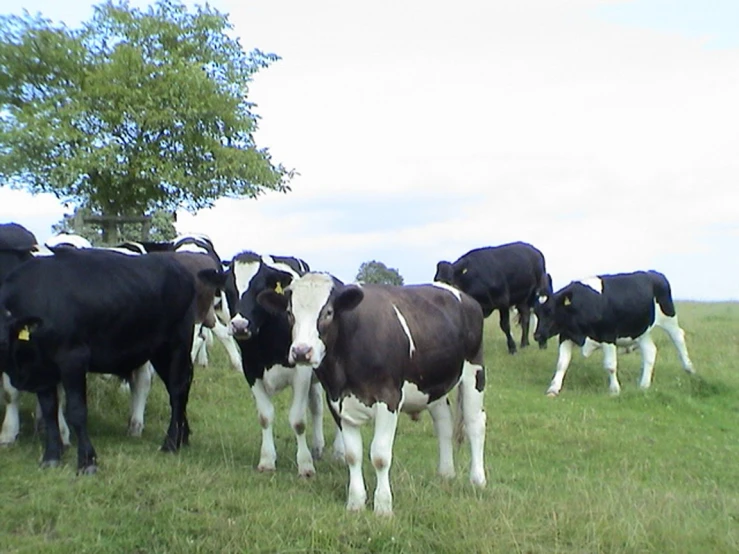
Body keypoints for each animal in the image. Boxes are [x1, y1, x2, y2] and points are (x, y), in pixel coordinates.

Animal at [0, 248, 197, 472]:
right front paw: (51, 456)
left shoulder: (73, 359)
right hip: (159, 352)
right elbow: (49, 411)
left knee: (177, 390)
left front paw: (87, 461)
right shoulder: (43, 370)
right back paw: (183, 437)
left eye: (2, 340)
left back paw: (170, 443)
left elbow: (77, 411)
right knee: (179, 388)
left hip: (177, 344)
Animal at [197, 252, 336, 476]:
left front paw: (305, 464)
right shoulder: (251, 371)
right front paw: (267, 460)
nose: (240, 326)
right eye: (229, 290)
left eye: (260, 290)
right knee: (316, 406)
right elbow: (265, 416)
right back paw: (317, 447)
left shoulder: (301, 372)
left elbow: (298, 420)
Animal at [258, 274, 488, 516]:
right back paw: (446, 473)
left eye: (328, 312)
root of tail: (463, 296)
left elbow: (379, 455)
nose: (301, 352)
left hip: (474, 370)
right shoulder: (337, 401)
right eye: (290, 313)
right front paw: (356, 502)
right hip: (432, 384)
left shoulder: (389, 398)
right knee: (444, 422)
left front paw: (383, 506)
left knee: (475, 423)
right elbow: (352, 455)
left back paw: (477, 479)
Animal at [536, 270, 696, 394]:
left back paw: (689, 368)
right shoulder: (566, 335)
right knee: (650, 351)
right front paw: (554, 388)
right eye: (537, 313)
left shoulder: (608, 336)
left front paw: (614, 390)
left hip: (669, 318)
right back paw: (644, 385)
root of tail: (654, 274)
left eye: (551, 312)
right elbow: (561, 363)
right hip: (641, 331)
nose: (537, 335)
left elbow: (610, 365)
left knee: (678, 337)